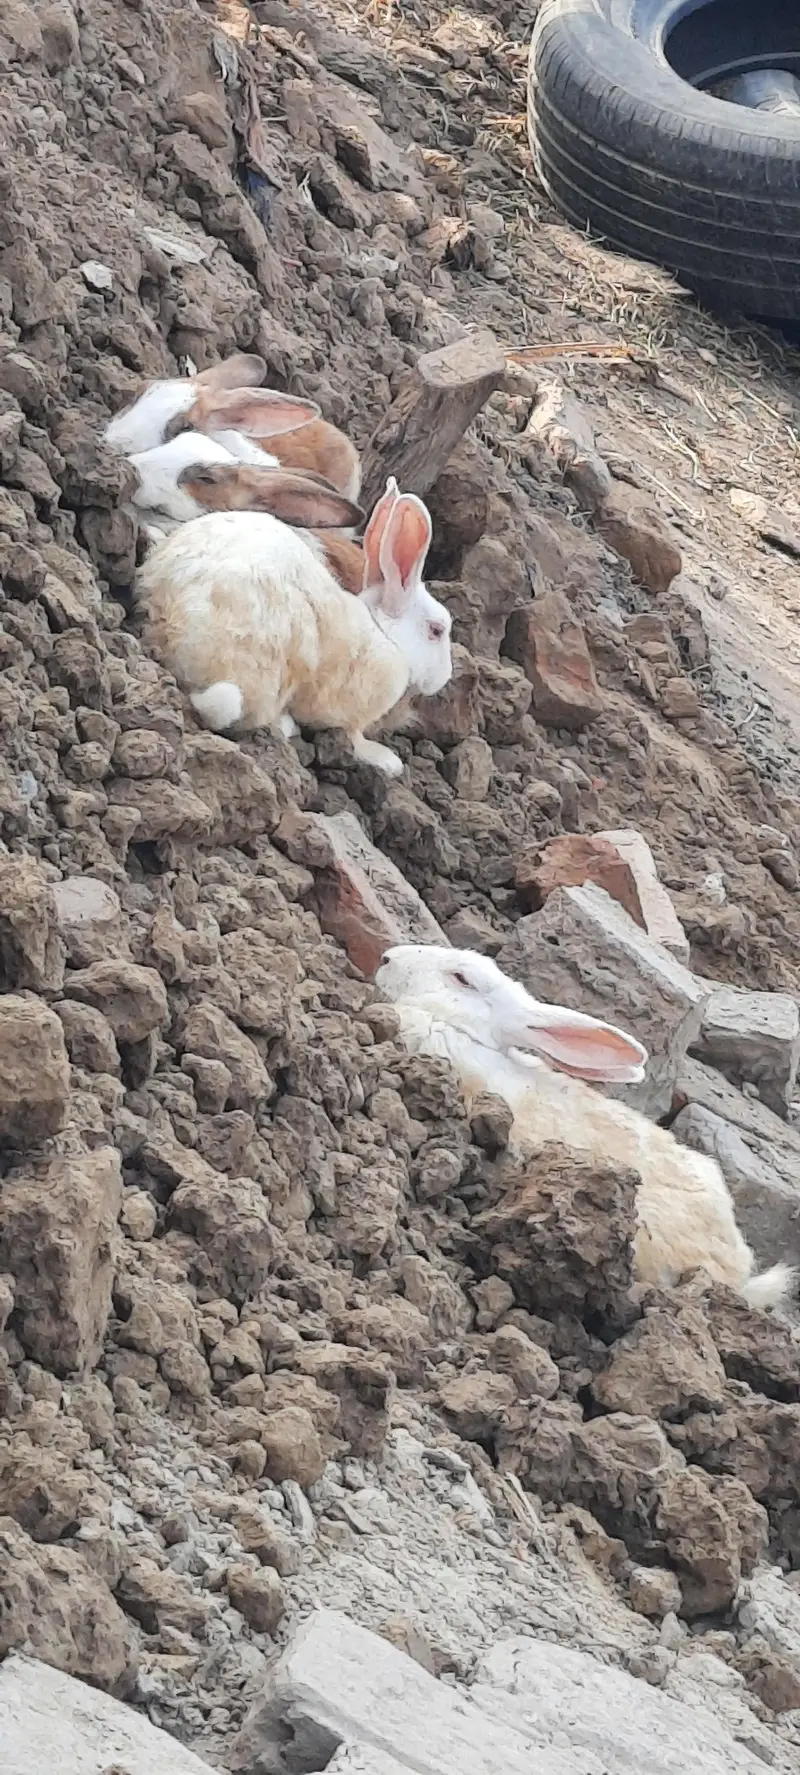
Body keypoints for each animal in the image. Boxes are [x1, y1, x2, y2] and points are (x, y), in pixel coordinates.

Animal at [136, 475, 450, 775]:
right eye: (437, 630)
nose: (444, 677)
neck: (385, 633)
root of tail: (169, 624)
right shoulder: (351, 711)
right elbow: (353, 736)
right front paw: (386, 761)